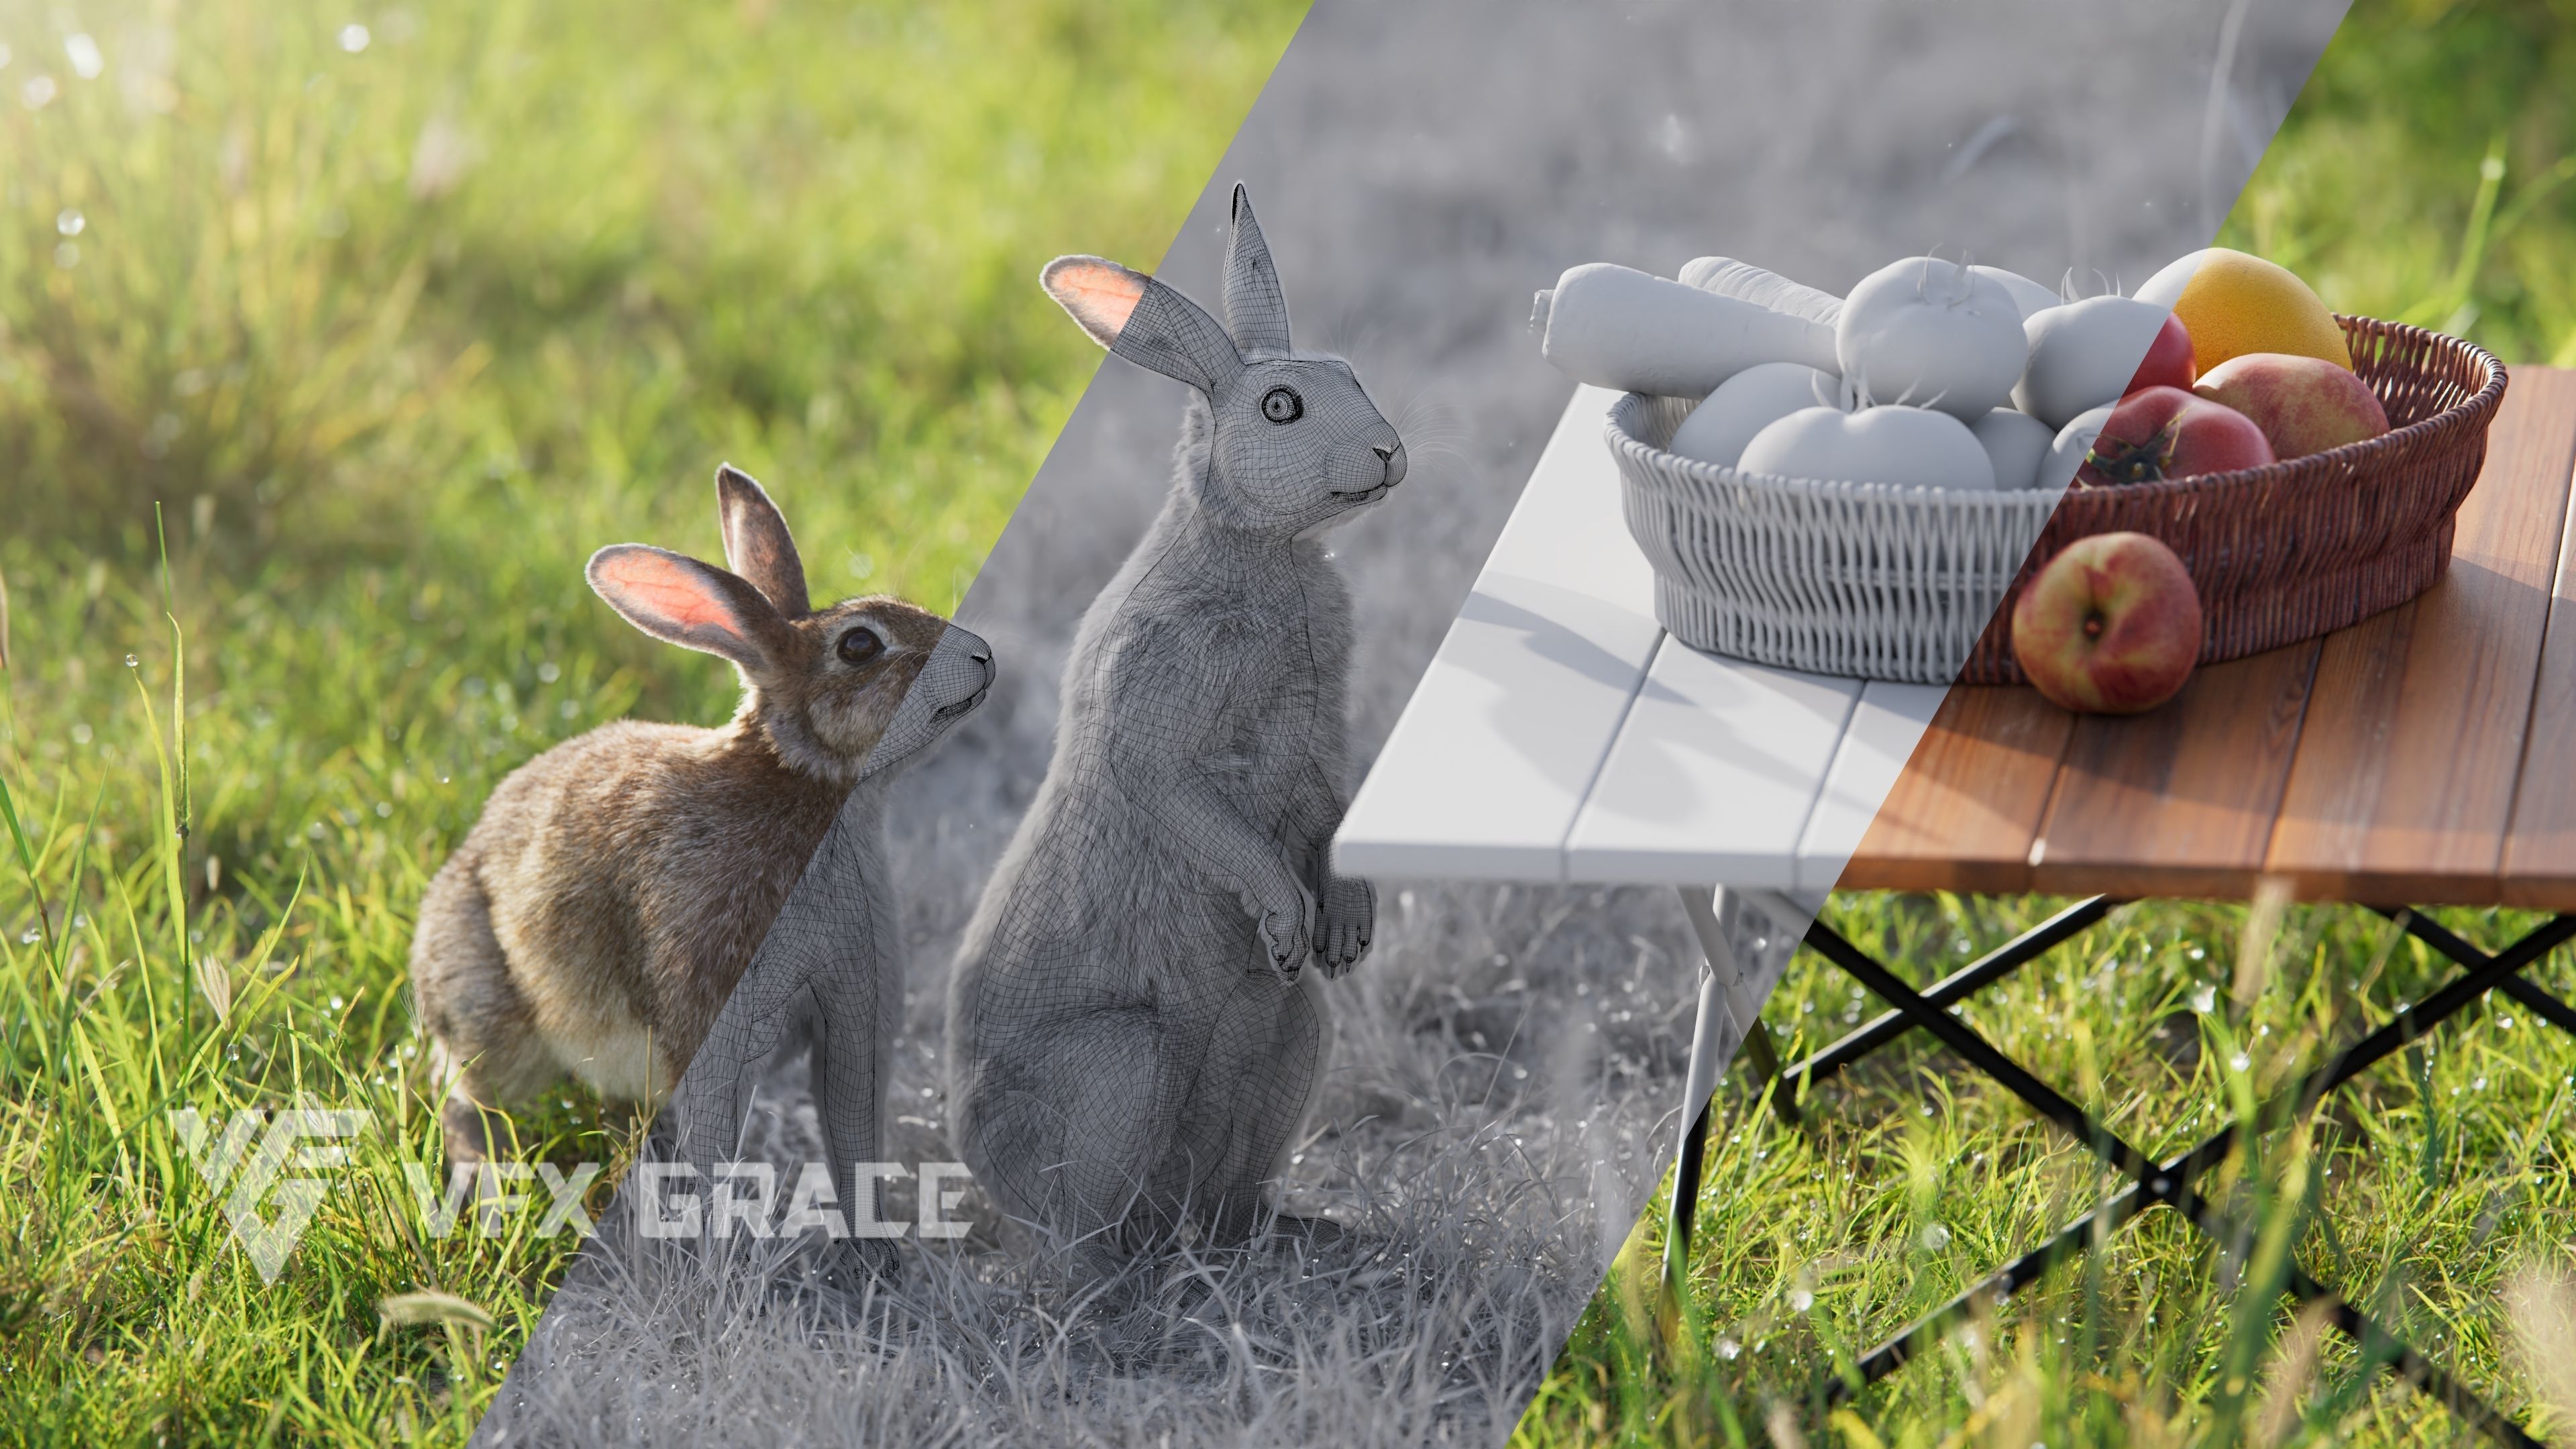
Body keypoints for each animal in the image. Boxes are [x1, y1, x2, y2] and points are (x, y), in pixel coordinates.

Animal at [411, 465, 995, 1205]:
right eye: (859, 645)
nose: (983, 655)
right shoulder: (710, 1017)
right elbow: (718, 1154)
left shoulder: (854, 1016)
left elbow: (853, 1141)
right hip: (498, 1022)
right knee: (466, 1099)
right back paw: (488, 1187)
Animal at [946, 185, 1405, 1277]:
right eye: (1280, 408)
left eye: (1350, 374)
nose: (1387, 453)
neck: (1264, 553)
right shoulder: (1154, 729)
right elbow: (1195, 809)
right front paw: (1286, 918)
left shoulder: (1323, 744)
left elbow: (1334, 806)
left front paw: (1344, 926)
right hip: (1127, 1065)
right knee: (1087, 1229)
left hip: (1291, 1039)